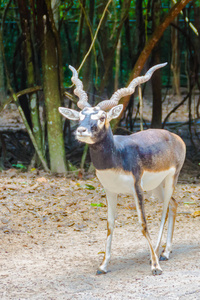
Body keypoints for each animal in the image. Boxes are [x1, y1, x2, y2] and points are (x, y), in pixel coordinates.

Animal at [59, 62, 186, 274]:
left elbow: (143, 224)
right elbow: (110, 225)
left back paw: (158, 256)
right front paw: (103, 265)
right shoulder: (110, 190)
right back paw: (165, 252)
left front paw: (155, 267)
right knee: (173, 204)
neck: (117, 156)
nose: (81, 130)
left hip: (170, 180)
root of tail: (175, 137)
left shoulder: (136, 188)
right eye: (81, 116)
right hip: (155, 187)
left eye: (102, 117)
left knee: (165, 210)